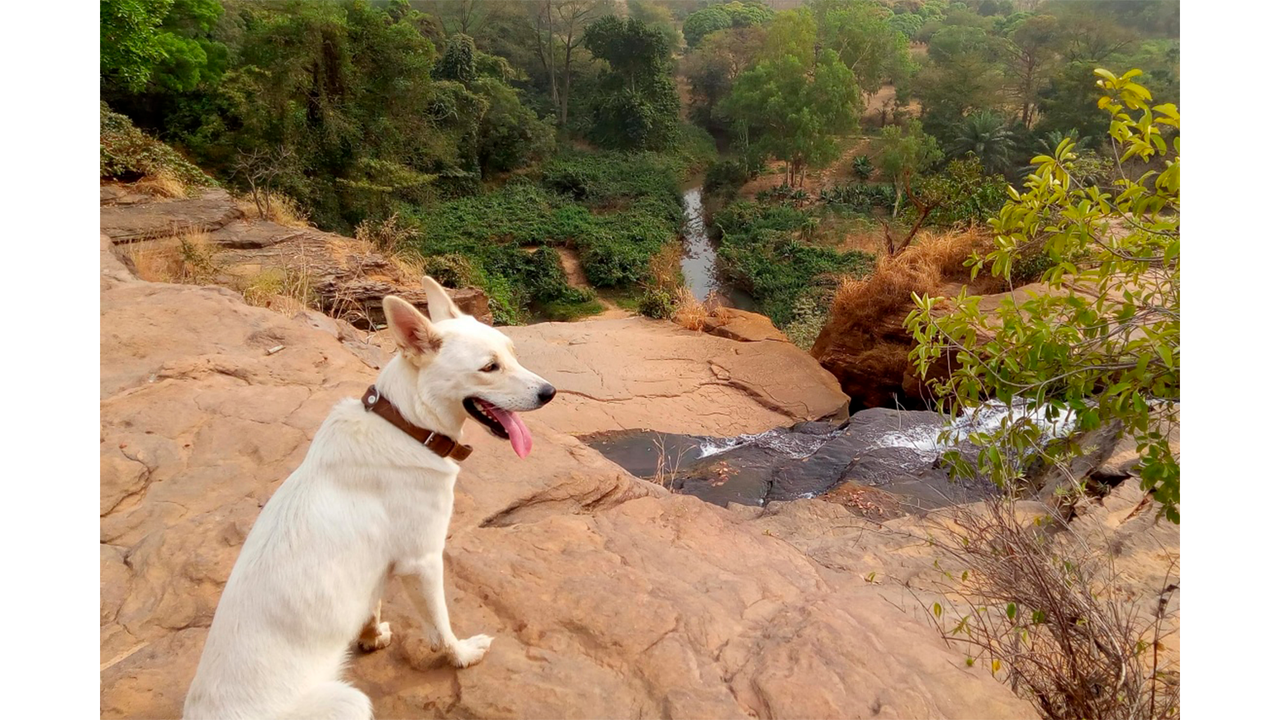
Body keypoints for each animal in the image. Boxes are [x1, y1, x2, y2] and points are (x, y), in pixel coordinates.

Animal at [181, 275, 555, 717]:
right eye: (489, 368)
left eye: (512, 353)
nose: (550, 392)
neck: (406, 425)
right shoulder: (421, 562)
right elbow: (440, 628)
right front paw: (461, 655)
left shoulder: (381, 567)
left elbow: (371, 604)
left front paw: (371, 636)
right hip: (349, 700)